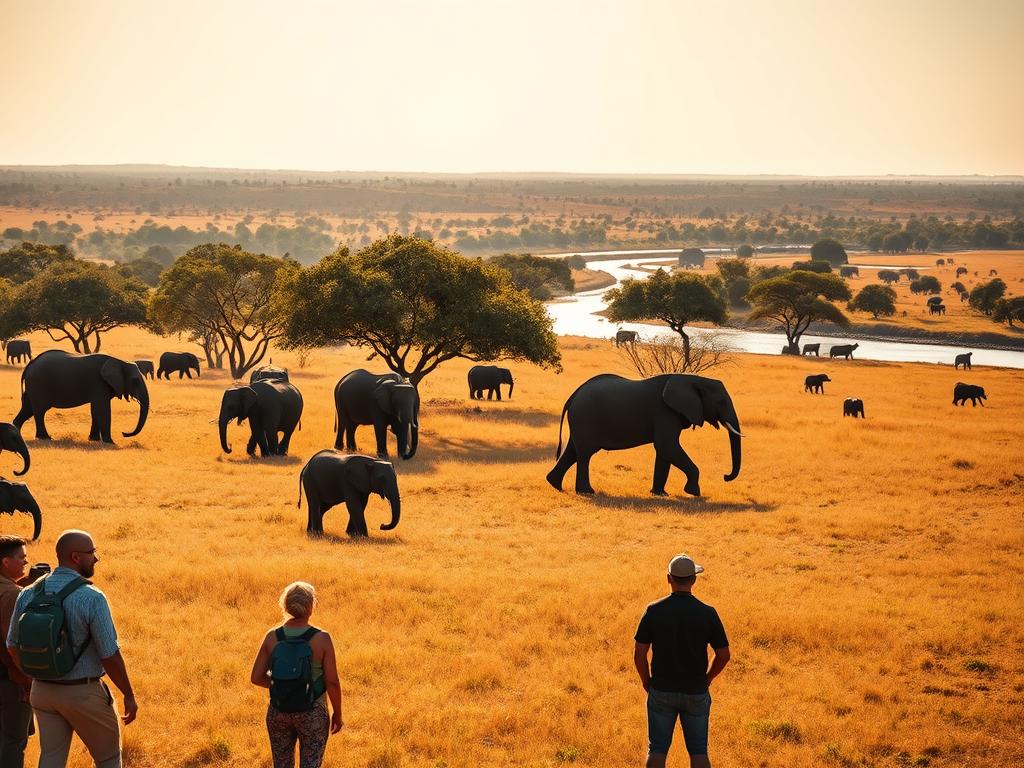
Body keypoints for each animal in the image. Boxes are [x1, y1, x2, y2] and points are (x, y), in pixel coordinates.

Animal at [13, 351, 149, 443]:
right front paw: (110, 443)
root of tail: (30, 364)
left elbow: (95, 410)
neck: (119, 361)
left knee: (27, 409)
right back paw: (45, 438)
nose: (124, 434)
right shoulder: (98, 383)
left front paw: (94, 440)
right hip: (38, 384)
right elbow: (102, 409)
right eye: (135, 381)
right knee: (39, 411)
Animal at [545, 373, 742, 498]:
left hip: (581, 420)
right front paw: (693, 492)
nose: (725, 476)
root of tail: (572, 396)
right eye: (721, 401)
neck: (693, 378)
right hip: (585, 417)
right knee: (585, 454)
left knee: (573, 451)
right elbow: (666, 446)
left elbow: (664, 452)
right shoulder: (664, 412)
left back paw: (555, 484)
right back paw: (587, 492)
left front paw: (661, 494)